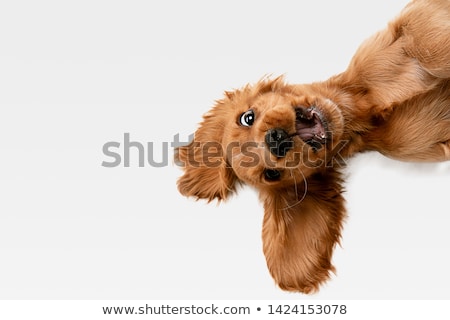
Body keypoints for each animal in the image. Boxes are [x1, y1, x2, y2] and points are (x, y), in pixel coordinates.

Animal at [175, 0, 450, 294]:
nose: (275, 141)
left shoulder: (409, 27)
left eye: (247, 117)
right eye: (271, 174)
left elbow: (424, 42)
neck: (366, 109)